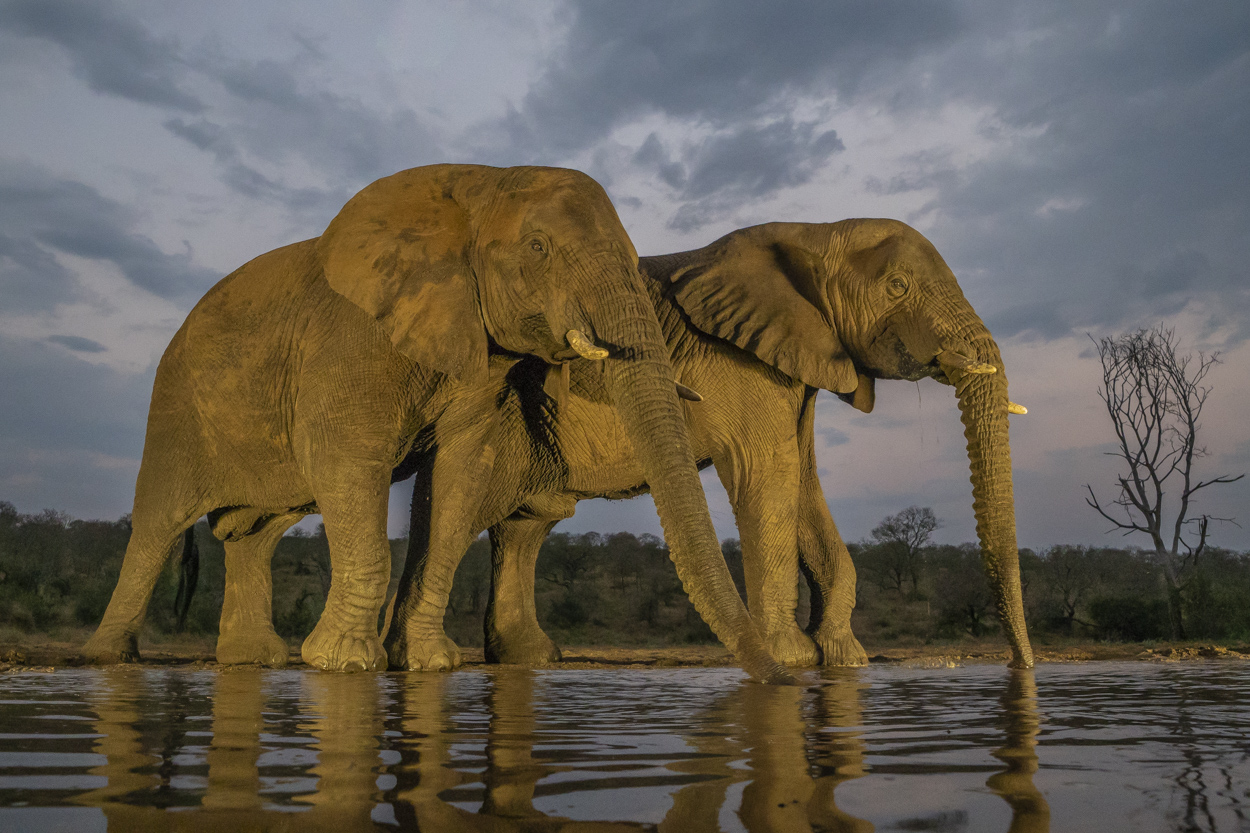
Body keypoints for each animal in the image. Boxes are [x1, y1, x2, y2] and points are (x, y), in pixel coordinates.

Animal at [78, 163, 790, 680]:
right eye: (539, 247)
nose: (779, 678)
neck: (478, 189)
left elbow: (460, 475)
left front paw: (427, 665)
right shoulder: (352, 337)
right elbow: (348, 460)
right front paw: (341, 665)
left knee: (257, 531)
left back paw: (255, 660)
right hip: (175, 402)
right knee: (157, 523)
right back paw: (109, 658)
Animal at [390, 215, 1035, 670]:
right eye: (898, 286)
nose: (1022, 665)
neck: (814, 231)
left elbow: (805, 485)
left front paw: (844, 659)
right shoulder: (743, 366)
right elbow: (770, 476)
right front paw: (793, 658)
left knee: (523, 527)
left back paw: (529, 659)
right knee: (464, 510)